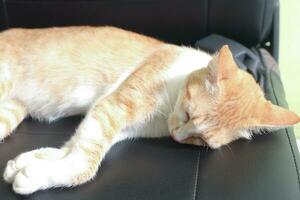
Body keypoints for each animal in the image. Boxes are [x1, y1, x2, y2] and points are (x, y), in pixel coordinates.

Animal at [0, 25, 298, 195]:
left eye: (200, 139)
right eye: (188, 113)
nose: (176, 136)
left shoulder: (118, 123)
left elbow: (73, 145)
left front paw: (32, 162)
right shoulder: (112, 107)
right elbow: (86, 162)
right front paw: (38, 174)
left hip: (9, 113)